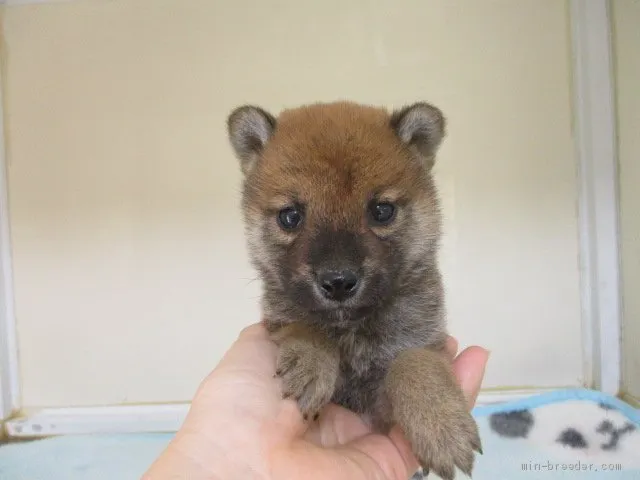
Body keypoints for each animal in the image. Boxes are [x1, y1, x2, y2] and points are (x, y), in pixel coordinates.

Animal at [225, 99, 480, 478]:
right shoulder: (280, 321)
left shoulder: (399, 377)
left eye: (382, 211)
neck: (352, 331)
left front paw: (441, 426)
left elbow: (413, 361)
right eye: (290, 216)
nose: (338, 282)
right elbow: (302, 326)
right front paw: (311, 361)